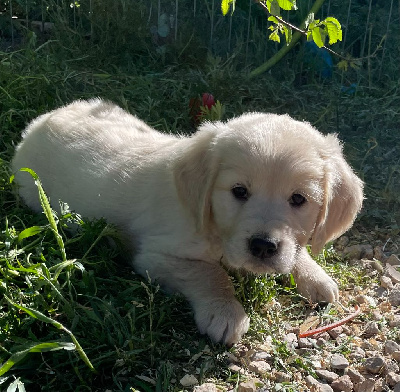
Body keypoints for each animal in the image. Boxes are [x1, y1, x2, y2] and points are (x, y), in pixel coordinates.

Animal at [11, 99, 362, 346]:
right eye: (239, 191)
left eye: (299, 199)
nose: (263, 246)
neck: (215, 230)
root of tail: (39, 122)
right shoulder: (155, 256)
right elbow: (209, 273)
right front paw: (225, 311)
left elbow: (296, 251)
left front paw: (315, 276)